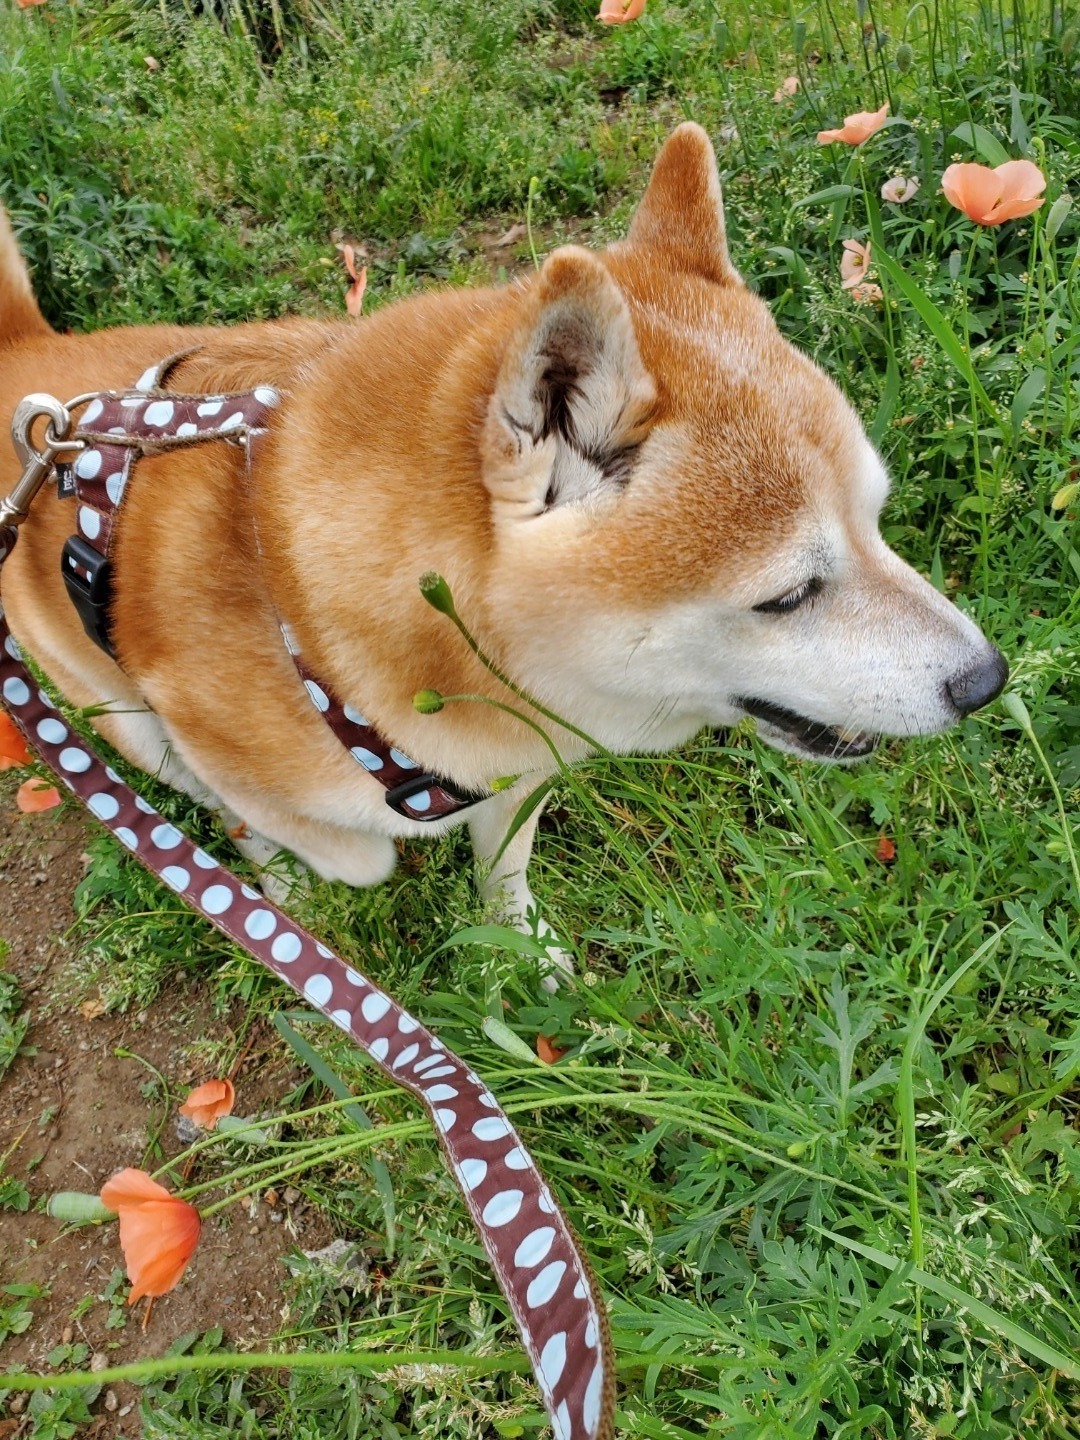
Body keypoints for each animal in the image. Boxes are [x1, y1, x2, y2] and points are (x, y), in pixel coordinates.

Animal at [4, 126, 1013, 979]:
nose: (988, 681)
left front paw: (515, 949)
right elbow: (342, 849)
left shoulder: (516, 769)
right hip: (111, 710)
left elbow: (503, 869)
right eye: (788, 595)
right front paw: (294, 881)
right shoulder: (217, 732)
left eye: (878, 524)